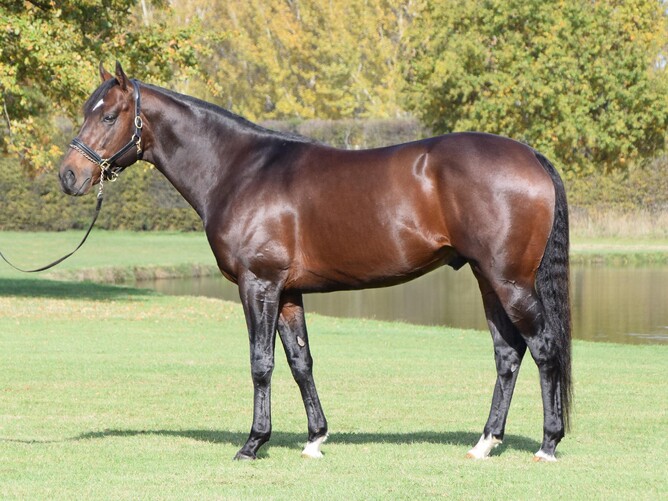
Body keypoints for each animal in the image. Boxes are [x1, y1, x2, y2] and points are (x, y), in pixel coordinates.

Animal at [59, 62, 572, 462]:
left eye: (109, 115)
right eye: (85, 111)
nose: (69, 176)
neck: (241, 170)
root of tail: (531, 156)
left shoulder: (258, 284)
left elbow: (261, 361)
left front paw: (253, 443)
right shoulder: (287, 292)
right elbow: (300, 361)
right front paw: (315, 439)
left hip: (510, 281)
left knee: (544, 348)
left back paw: (548, 444)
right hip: (488, 279)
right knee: (508, 355)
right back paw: (485, 443)